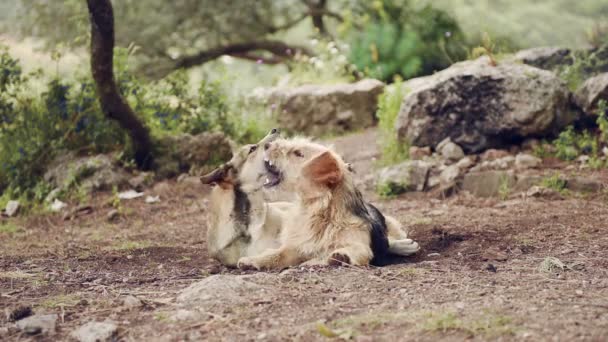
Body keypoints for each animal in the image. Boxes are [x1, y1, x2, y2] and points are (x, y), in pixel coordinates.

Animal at [236, 137, 418, 270]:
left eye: (298, 153)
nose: (266, 144)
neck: (319, 211)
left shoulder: (359, 244)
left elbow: (352, 251)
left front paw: (339, 256)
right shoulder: (296, 247)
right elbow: (276, 255)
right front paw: (252, 260)